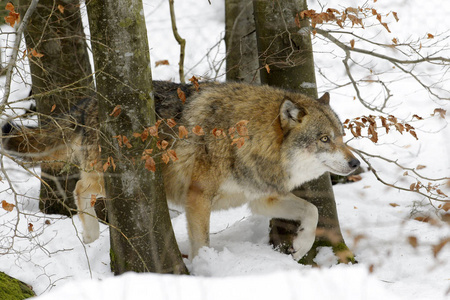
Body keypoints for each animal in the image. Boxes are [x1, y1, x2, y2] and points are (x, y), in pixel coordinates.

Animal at [0, 81, 358, 260]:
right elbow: (202, 243)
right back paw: (90, 236)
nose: (356, 163)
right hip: (114, 176)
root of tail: (87, 101)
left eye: (341, 136)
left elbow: (311, 211)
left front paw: (301, 248)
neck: (249, 137)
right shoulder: (197, 197)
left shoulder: (260, 199)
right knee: (78, 189)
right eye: (324, 139)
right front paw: (203, 268)